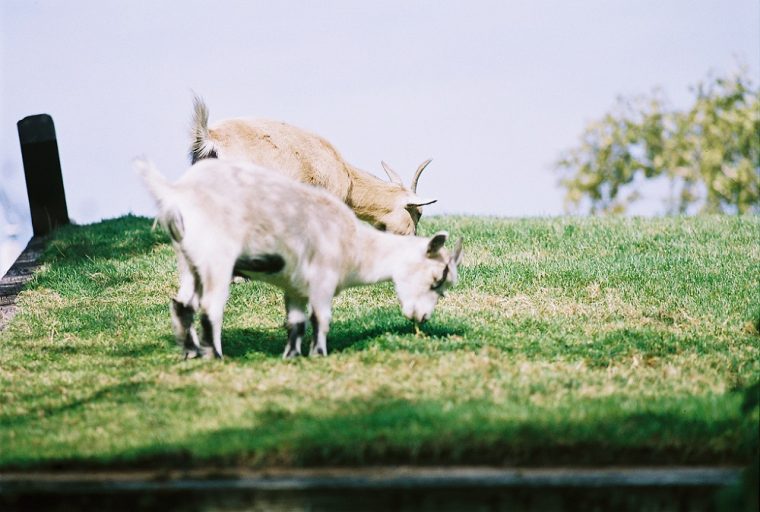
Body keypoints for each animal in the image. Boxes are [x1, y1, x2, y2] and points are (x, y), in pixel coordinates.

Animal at [135, 158, 464, 358]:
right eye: (437, 278)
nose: (422, 318)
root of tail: (178, 191)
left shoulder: (295, 285)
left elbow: (296, 322)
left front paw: (293, 356)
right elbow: (321, 318)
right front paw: (319, 354)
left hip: (189, 261)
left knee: (182, 304)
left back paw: (191, 352)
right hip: (216, 258)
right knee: (210, 307)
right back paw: (216, 355)